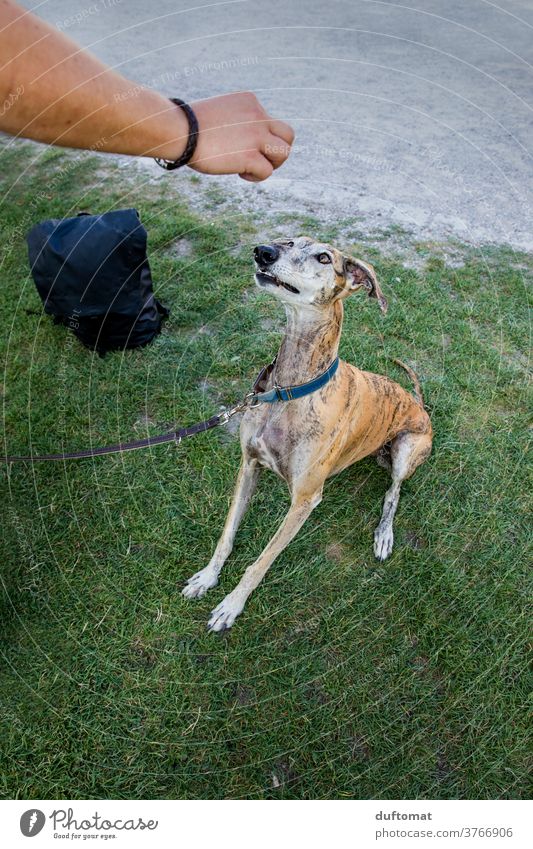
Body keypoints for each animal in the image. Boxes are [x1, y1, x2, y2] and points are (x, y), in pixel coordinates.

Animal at [183, 235, 432, 628]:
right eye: (287, 240)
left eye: (324, 257)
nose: (263, 252)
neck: (290, 388)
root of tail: (419, 403)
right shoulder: (248, 464)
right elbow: (227, 534)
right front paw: (208, 576)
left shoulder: (305, 499)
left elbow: (261, 561)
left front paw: (231, 605)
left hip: (408, 449)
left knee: (393, 492)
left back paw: (384, 534)